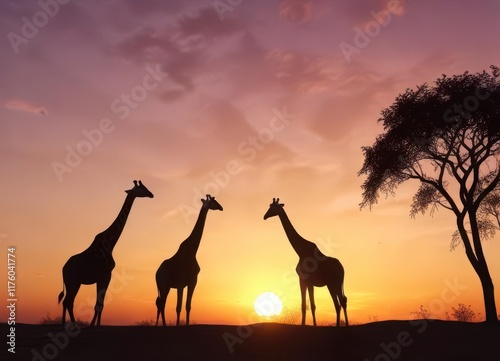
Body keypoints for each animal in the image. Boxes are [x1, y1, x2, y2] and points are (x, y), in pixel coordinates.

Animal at [57, 180, 153, 326]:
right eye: (142, 188)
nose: (151, 194)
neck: (110, 244)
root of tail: (63, 268)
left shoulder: (102, 277)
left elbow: (99, 303)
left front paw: (94, 324)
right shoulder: (106, 274)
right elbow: (99, 304)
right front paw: (94, 325)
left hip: (74, 282)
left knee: (67, 302)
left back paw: (64, 324)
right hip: (72, 281)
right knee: (68, 301)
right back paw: (71, 325)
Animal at [154, 194, 221, 326]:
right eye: (213, 201)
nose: (221, 207)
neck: (193, 250)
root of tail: (156, 273)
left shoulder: (185, 284)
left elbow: (184, 306)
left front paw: (182, 324)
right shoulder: (189, 282)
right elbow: (183, 306)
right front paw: (181, 325)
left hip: (162, 287)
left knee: (159, 304)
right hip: (164, 286)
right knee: (162, 304)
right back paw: (163, 325)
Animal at [266, 197, 348, 326]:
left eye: (273, 207)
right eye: (269, 206)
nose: (264, 216)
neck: (300, 251)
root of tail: (342, 268)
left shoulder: (305, 280)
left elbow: (309, 306)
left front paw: (309, 325)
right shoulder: (307, 281)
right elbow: (307, 306)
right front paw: (308, 324)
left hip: (333, 283)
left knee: (338, 303)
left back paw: (339, 326)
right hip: (337, 283)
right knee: (343, 301)